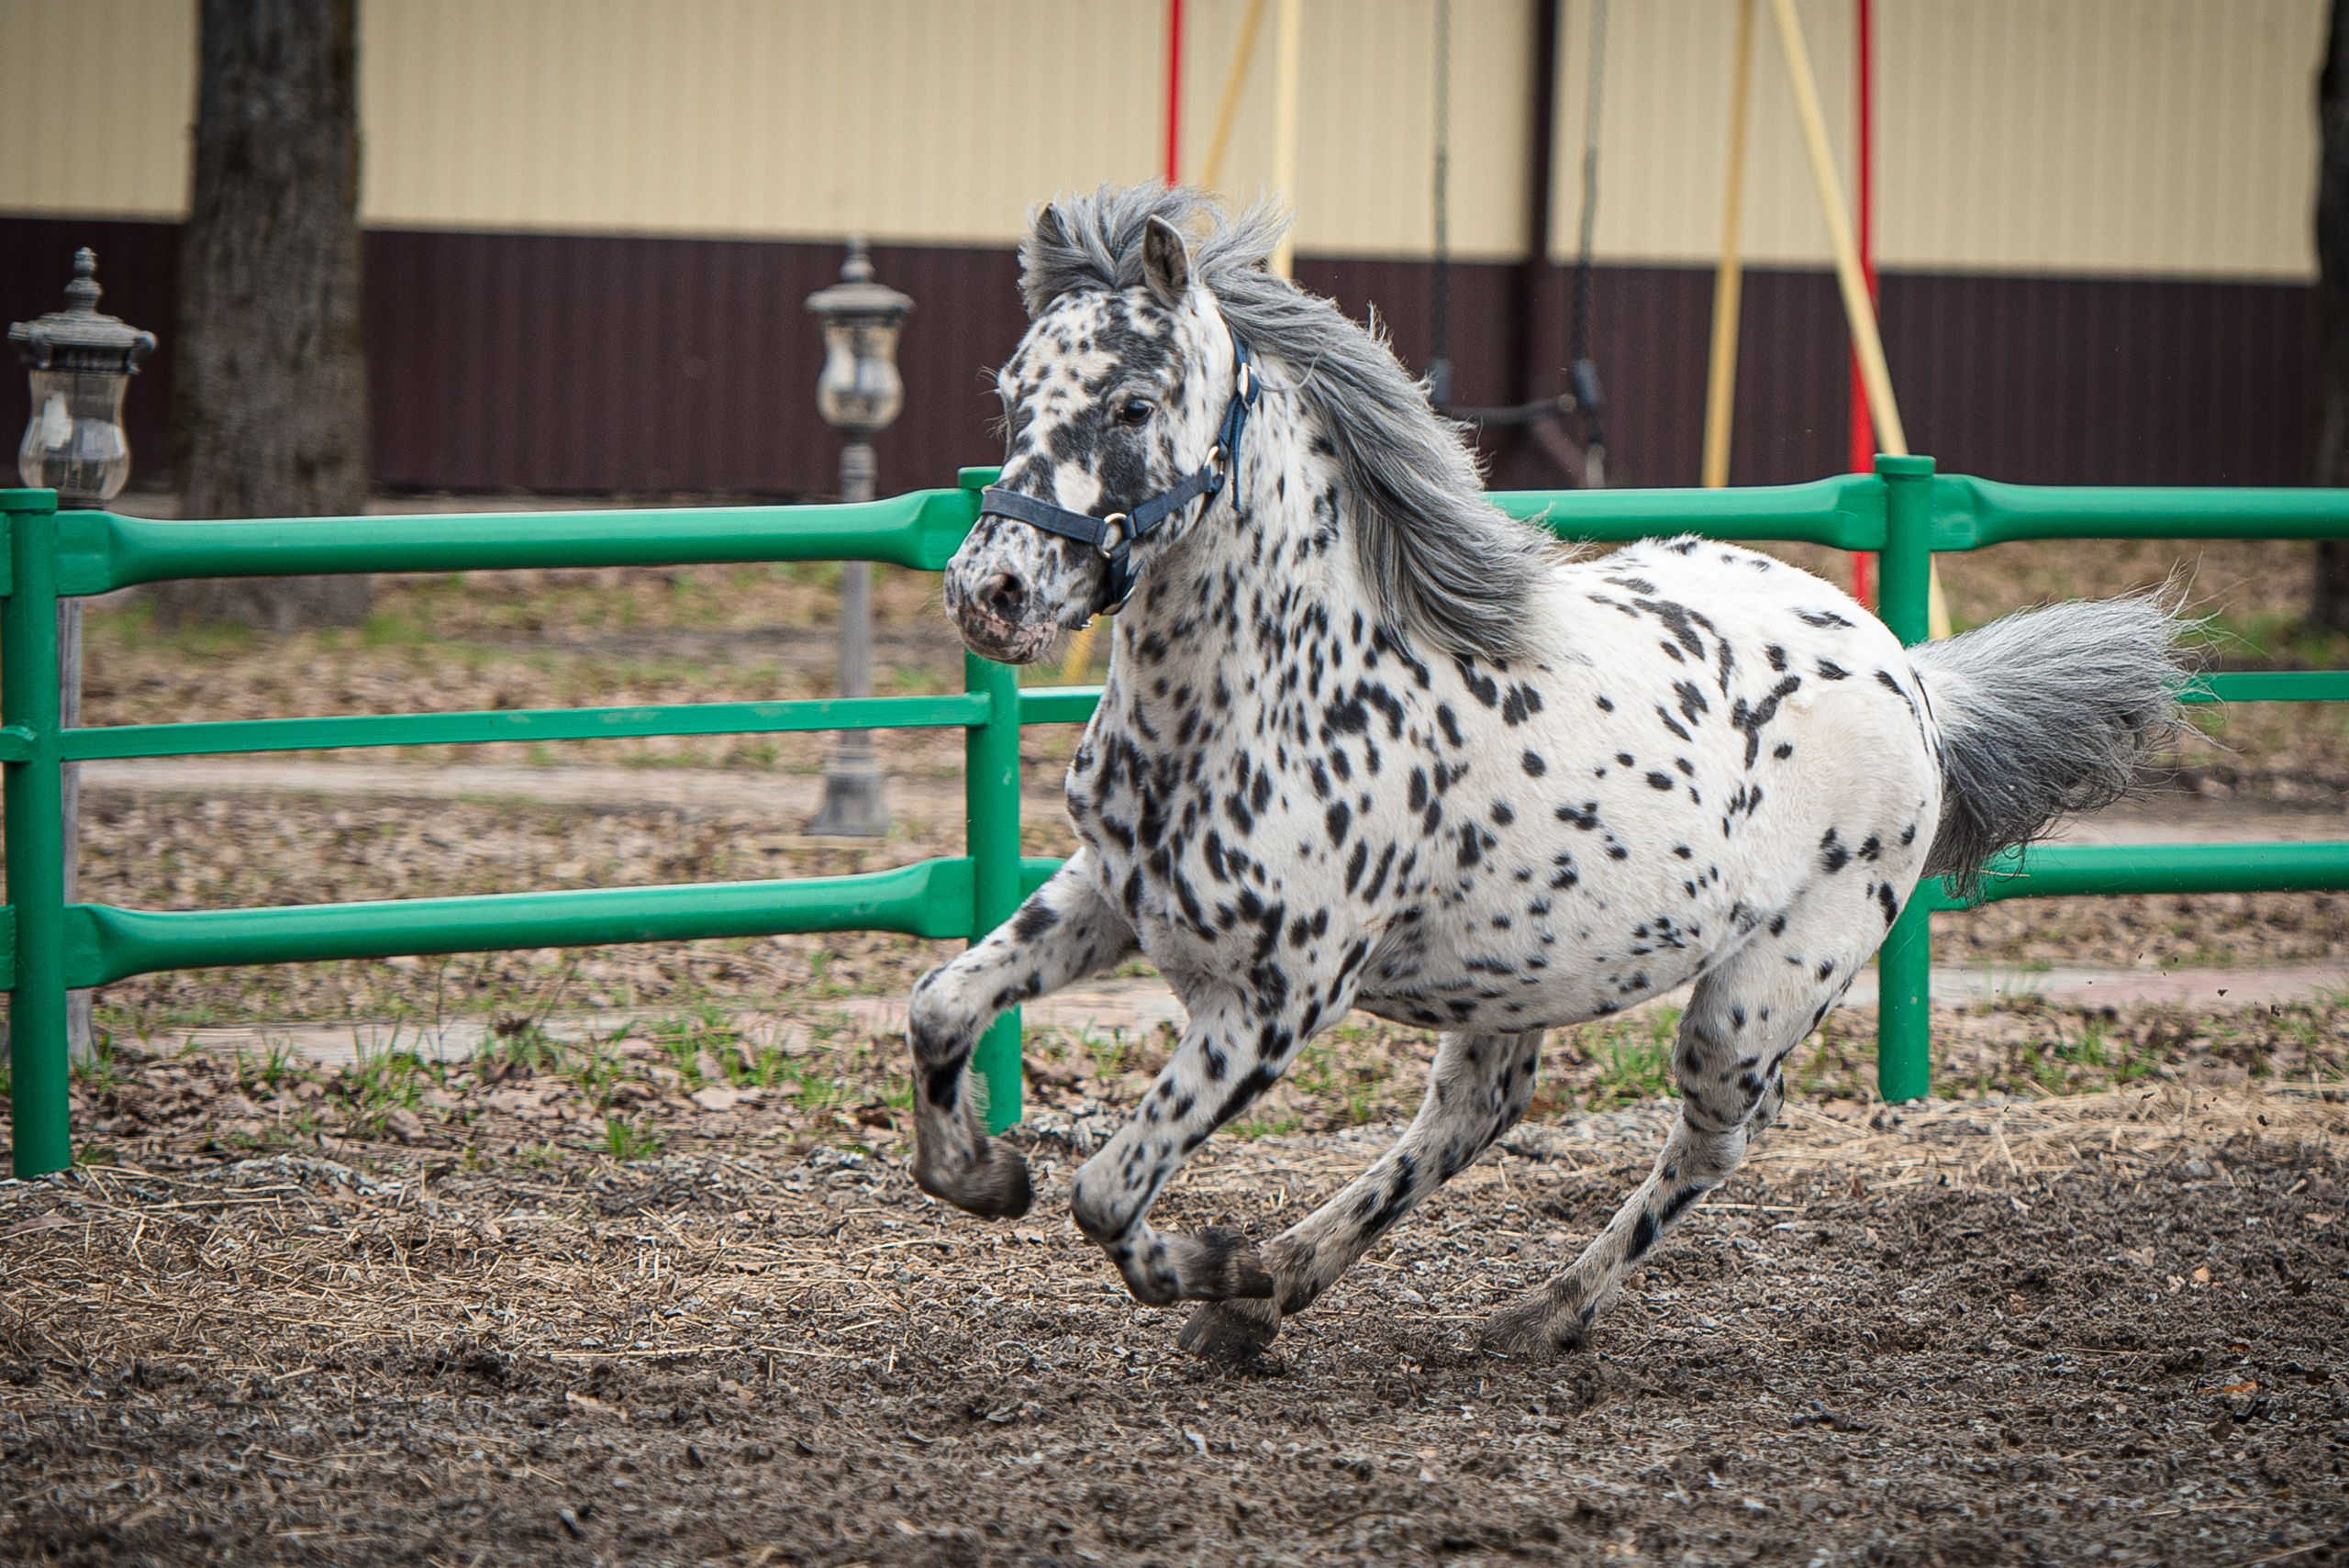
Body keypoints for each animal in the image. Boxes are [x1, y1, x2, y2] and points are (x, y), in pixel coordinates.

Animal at [905, 184, 2185, 1362]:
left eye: (1131, 403)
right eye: (1010, 395)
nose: (989, 593)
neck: (1270, 694)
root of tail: (1912, 676)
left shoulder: (1276, 1000)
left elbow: (1108, 1189)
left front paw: (1202, 1257)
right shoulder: (1108, 895)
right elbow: (940, 1007)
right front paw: (985, 1176)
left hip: (1753, 999)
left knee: (1712, 1137)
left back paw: (1527, 1309)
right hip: (1510, 978)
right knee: (1473, 1115)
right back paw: (1282, 1282)